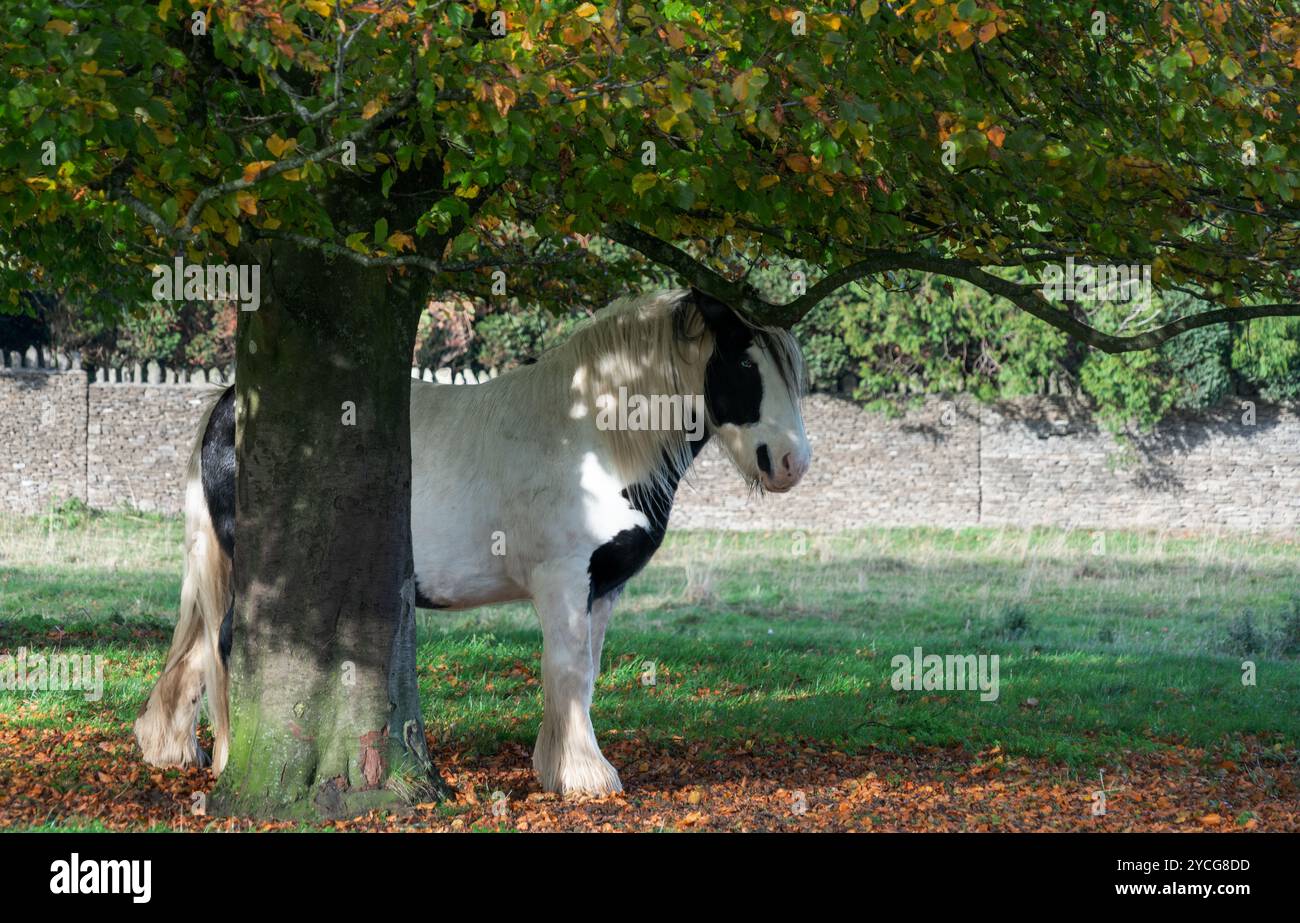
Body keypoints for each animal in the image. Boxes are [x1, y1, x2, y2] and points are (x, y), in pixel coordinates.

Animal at [133, 287, 811, 796]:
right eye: (743, 366)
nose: (791, 462)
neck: (591, 439)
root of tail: (231, 405)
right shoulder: (564, 578)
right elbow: (567, 669)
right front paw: (585, 776)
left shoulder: (603, 587)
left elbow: (584, 674)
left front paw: (557, 766)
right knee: (224, 646)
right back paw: (229, 760)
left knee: (198, 650)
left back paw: (174, 750)